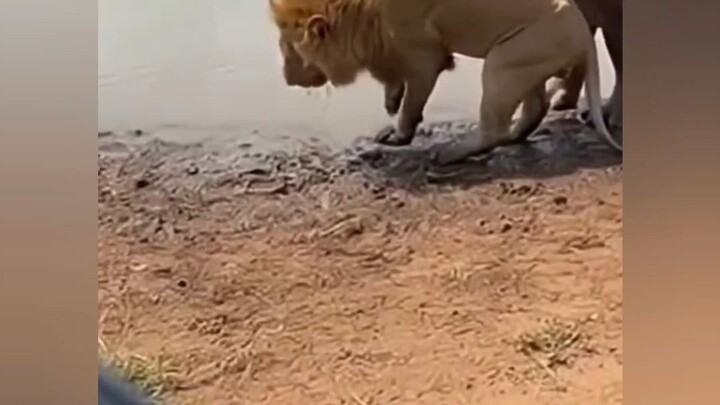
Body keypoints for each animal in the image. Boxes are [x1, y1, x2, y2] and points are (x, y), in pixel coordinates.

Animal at [269, 0, 622, 164]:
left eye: (289, 48)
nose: (286, 79)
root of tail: (581, 31)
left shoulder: (425, 55)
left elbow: (412, 101)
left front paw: (398, 135)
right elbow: (393, 79)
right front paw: (390, 101)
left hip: (502, 62)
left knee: (493, 129)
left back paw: (449, 154)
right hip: (523, 64)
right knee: (534, 109)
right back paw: (514, 135)